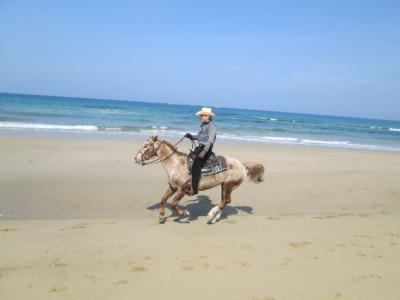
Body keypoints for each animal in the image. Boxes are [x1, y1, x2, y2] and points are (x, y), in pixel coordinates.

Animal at [134, 135, 266, 223]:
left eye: (146, 145)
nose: (135, 158)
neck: (176, 164)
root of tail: (242, 165)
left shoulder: (182, 189)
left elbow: (174, 203)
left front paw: (184, 214)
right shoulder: (172, 187)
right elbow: (163, 200)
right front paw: (161, 215)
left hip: (229, 185)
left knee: (225, 201)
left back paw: (211, 215)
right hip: (224, 186)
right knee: (225, 201)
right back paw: (214, 217)